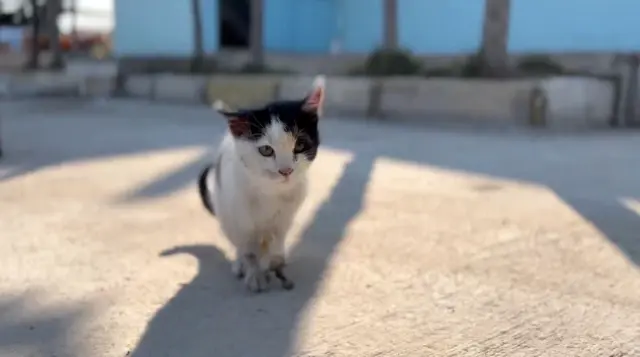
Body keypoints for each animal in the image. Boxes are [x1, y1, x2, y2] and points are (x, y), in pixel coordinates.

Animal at [196, 75, 324, 292]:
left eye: (299, 145)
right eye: (266, 150)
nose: (286, 171)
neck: (269, 191)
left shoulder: (286, 217)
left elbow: (277, 240)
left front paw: (274, 262)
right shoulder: (240, 218)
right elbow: (249, 249)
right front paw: (254, 274)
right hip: (225, 211)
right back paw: (241, 264)